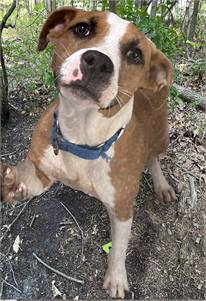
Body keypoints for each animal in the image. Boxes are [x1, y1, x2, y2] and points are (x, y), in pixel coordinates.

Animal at [0, 7, 176, 298]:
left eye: (135, 54)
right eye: (83, 29)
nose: (97, 62)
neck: (80, 138)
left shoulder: (123, 208)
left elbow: (119, 248)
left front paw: (116, 277)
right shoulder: (42, 172)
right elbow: (27, 181)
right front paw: (12, 183)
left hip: (161, 133)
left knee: (153, 155)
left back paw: (162, 184)